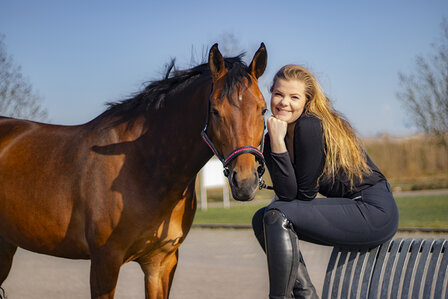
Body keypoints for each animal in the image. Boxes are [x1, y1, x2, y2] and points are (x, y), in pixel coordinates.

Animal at [0, 43, 266, 298]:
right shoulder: (105, 262)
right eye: (215, 111)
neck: (144, 165)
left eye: (262, 109)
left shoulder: (161, 264)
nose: (245, 182)